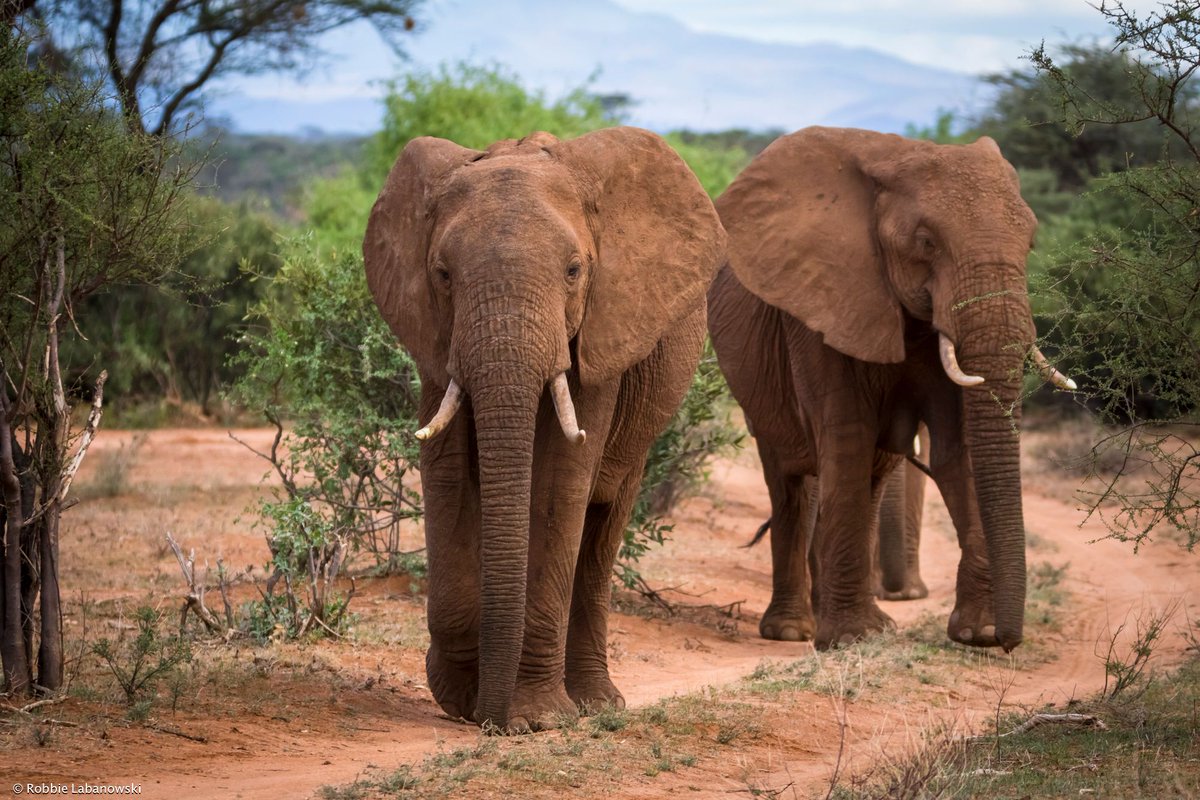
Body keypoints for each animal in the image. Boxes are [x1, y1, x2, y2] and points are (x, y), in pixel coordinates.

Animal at [363, 127, 725, 732]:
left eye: (575, 271)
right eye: (442, 274)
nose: (489, 719)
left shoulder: (602, 331)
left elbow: (560, 482)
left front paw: (535, 718)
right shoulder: (437, 343)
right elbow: (447, 474)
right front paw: (459, 696)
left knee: (602, 527)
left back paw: (595, 703)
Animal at [708, 127, 1074, 651]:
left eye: (1030, 244)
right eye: (926, 242)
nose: (1010, 640)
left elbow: (960, 447)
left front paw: (977, 632)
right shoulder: (821, 305)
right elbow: (847, 435)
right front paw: (852, 639)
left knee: (870, 480)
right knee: (790, 485)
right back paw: (794, 631)